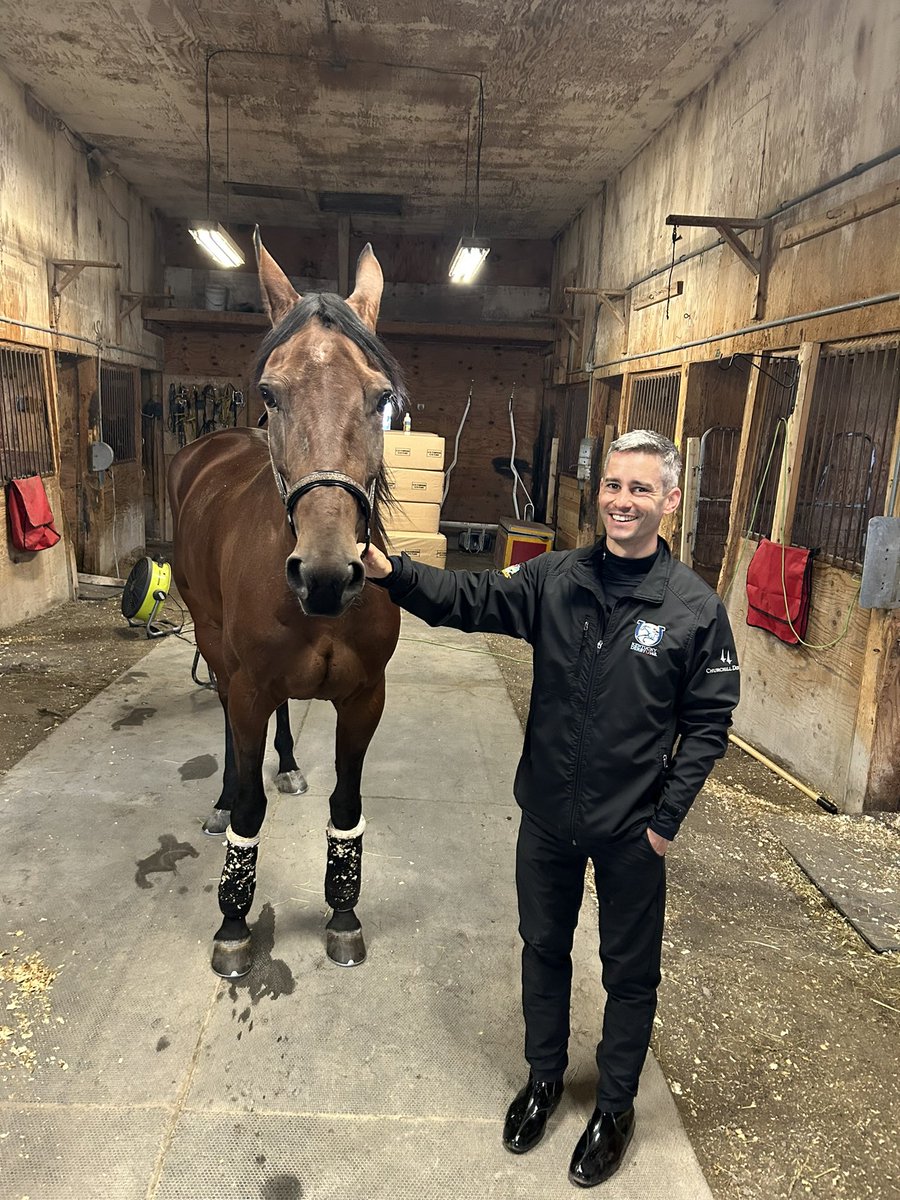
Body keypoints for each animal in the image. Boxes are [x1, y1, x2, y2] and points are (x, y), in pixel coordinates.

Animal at [168, 231, 405, 974]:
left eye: (381, 398)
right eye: (270, 393)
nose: (327, 575)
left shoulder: (365, 698)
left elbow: (347, 803)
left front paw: (344, 912)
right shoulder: (247, 685)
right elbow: (249, 810)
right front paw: (233, 925)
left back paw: (292, 766)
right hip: (213, 644)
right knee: (227, 721)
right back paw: (220, 798)